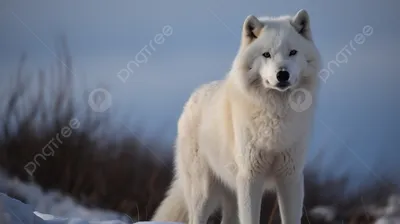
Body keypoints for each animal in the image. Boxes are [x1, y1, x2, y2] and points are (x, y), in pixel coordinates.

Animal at [152, 8, 324, 224]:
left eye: (293, 52)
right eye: (266, 54)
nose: (282, 74)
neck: (276, 114)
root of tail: (193, 96)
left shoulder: (290, 177)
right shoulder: (250, 177)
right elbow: (251, 218)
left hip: (232, 194)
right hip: (203, 193)